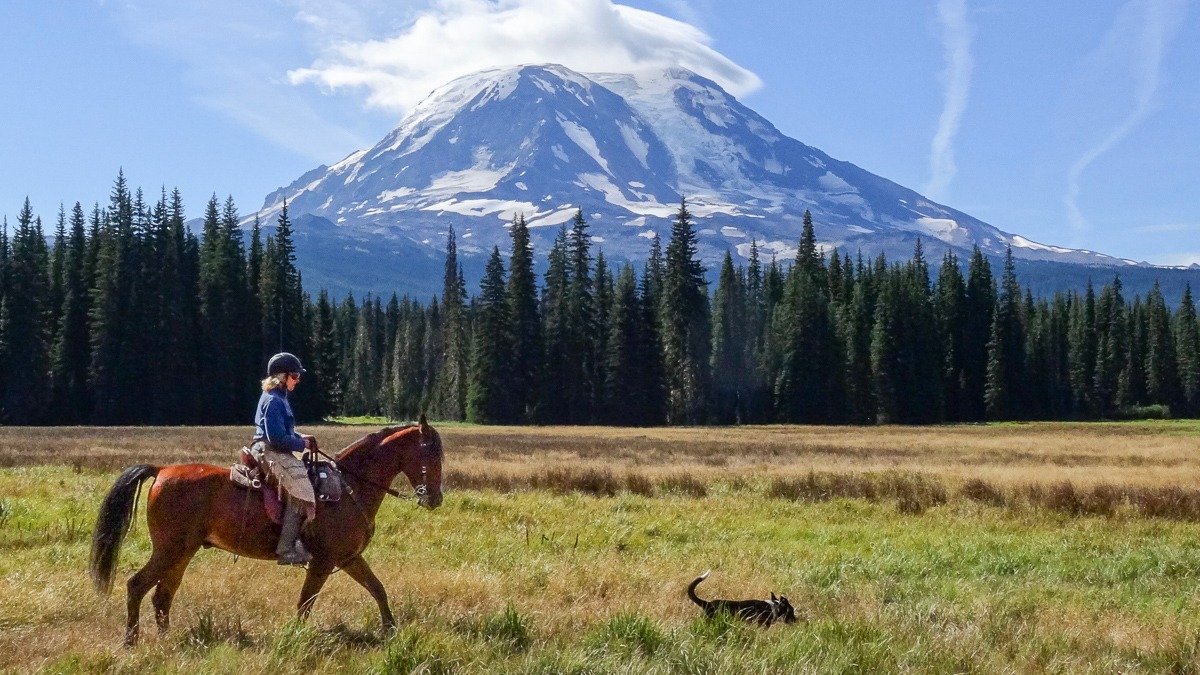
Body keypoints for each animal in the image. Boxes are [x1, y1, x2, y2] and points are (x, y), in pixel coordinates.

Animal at [88, 417, 444, 643]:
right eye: (430, 453)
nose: (434, 499)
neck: (348, 486)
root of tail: (161, 470)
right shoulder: (324, 561)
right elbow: (305, 603)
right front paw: (295, 637)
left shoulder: (348, 558)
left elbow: (377, 589)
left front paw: (392, 631)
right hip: (170, 550)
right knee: (137, 586)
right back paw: (131, 641)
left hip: (182, 553)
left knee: (162, 595)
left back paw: (164, 639)